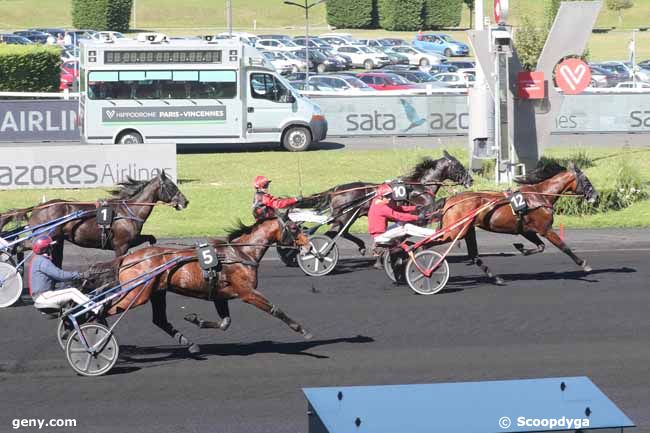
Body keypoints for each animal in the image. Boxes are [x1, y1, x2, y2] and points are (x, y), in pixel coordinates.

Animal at [28, 170, 187, 266]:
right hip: (46, 236)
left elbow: (151, 238)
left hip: (58, 240)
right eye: (171, 186)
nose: (185, 202)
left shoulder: (131, 240)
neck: (129, 211)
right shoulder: (121, 245)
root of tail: (37, 208)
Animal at [91, 214, 312, 352]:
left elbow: (225, 323)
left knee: (159, 320)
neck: (241, 253)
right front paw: (303, 330)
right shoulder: (247, 292)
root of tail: (126, 258)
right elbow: (275, 309)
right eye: (294, 227)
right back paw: (97, 336)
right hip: (137, 294)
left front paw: (194, 319)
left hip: (156, 292)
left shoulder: (221, 295)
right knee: (103, 309)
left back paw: (190, 344)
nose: (309, 246)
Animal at [306, 150, 468, 255]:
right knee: (334, 233)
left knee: (340, 232)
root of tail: (336, 189)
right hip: (346, 216)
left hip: (347, 216)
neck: (421, 186)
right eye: (459, 166)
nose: (470, 180)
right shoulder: (422, 210)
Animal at [418, 162, 596, 284]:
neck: (540, 196)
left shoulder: (526, 230)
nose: (595, 196)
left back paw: (496, 278)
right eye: (586, 180)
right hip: (454, 231)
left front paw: (521, 248)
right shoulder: (545, 229)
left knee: (474, 256)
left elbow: (540, 246)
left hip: (467, 230)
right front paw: (584, 264)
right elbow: (563, 246)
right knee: (425, 244)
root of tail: (450, 200)